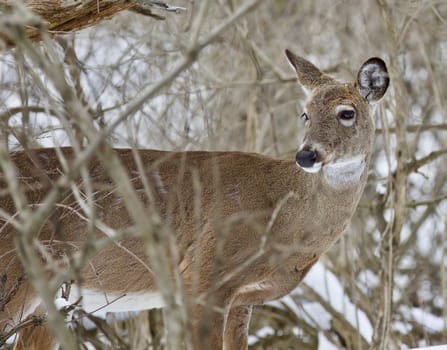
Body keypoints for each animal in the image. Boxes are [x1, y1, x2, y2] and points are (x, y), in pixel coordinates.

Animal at [0, 50, 388, 350]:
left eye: (347, 112)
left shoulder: (243, 299)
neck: (283, 220)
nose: (306, 155)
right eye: (305, 113)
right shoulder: (204, 275)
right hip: (13, 275)